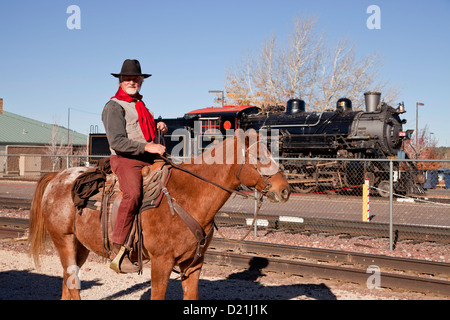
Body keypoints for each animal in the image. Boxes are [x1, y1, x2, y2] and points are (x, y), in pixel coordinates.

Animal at [28, 131, 290, 300]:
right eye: (260, 157)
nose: (285, 190)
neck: (186, 197)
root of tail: (56, 177)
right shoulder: (161, 263)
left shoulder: (193, 264)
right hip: (64, 241)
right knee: (72, 288)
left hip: (80, 247)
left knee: (67, 285)